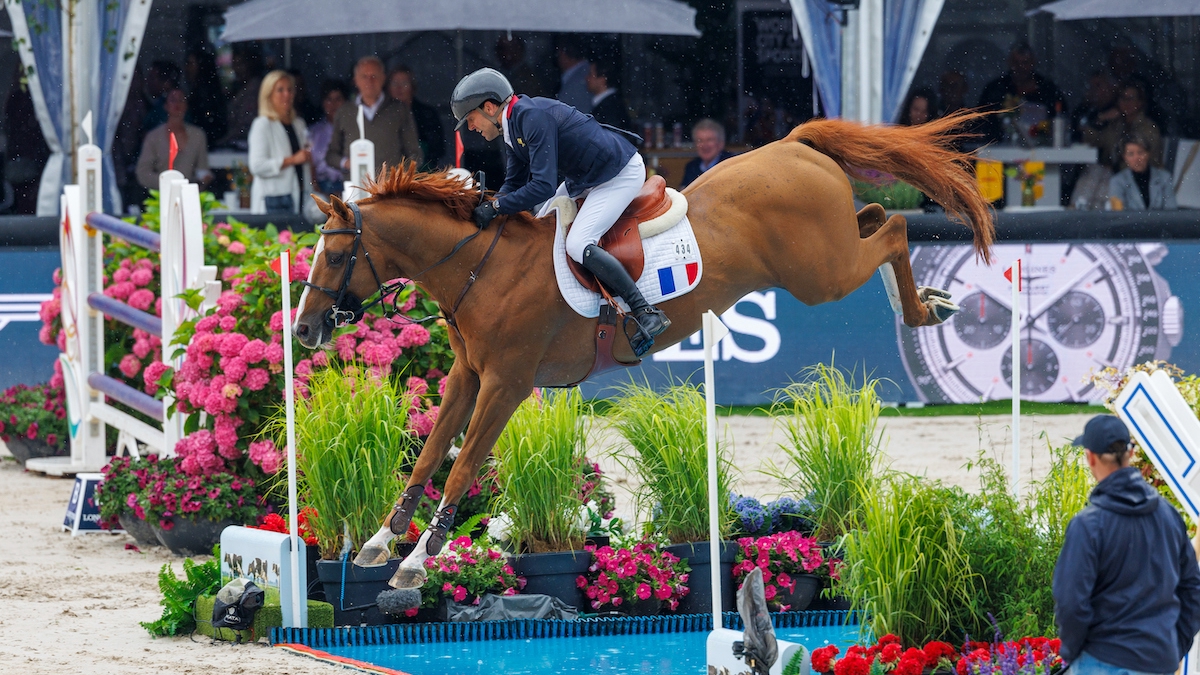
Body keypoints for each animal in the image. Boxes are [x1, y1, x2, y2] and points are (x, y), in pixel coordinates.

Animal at [292, 111, 993, 588]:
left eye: (335, 255)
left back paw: (925, 308)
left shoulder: (506, 383)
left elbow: (461, 466)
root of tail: (794, 143)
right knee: (877, 218)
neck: (478, 264)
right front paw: (380, 542)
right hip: (827, 257)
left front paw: (415, 563)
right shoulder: (468, 375)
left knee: (895, 226)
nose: (304, 331)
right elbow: (431, 454)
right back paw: (926, 299)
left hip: (821, 274)